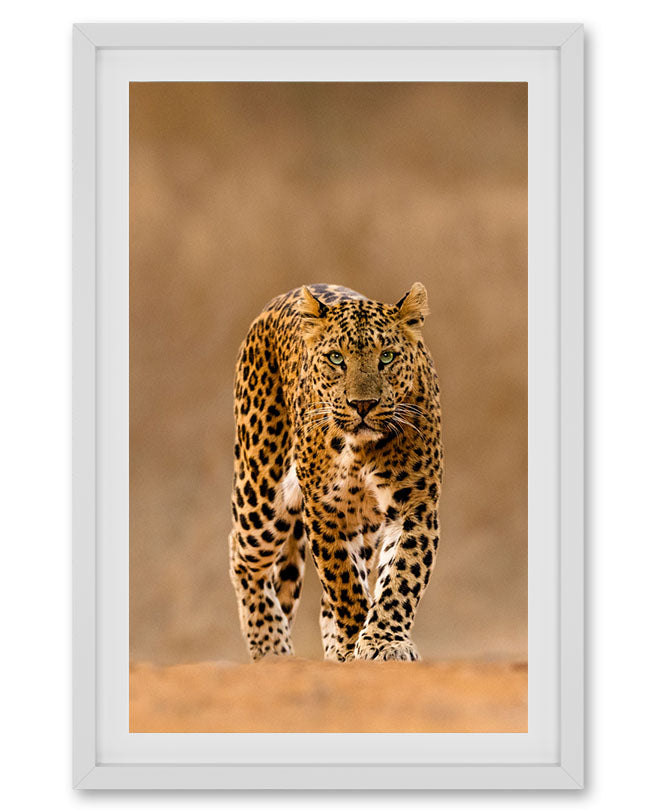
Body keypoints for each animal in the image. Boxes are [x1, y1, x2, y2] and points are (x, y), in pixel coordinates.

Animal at [229, 283, 443, 662]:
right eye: (336, 359)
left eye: (387, 357)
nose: (363, 405)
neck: (362, 450)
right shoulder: (325, 510)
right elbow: (343, 582)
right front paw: (356, 640)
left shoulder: (416, 505)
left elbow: (402, 575)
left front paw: (384, 641)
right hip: (262, 493)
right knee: (242, 555)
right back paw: (270, 645)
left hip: (365, 523)